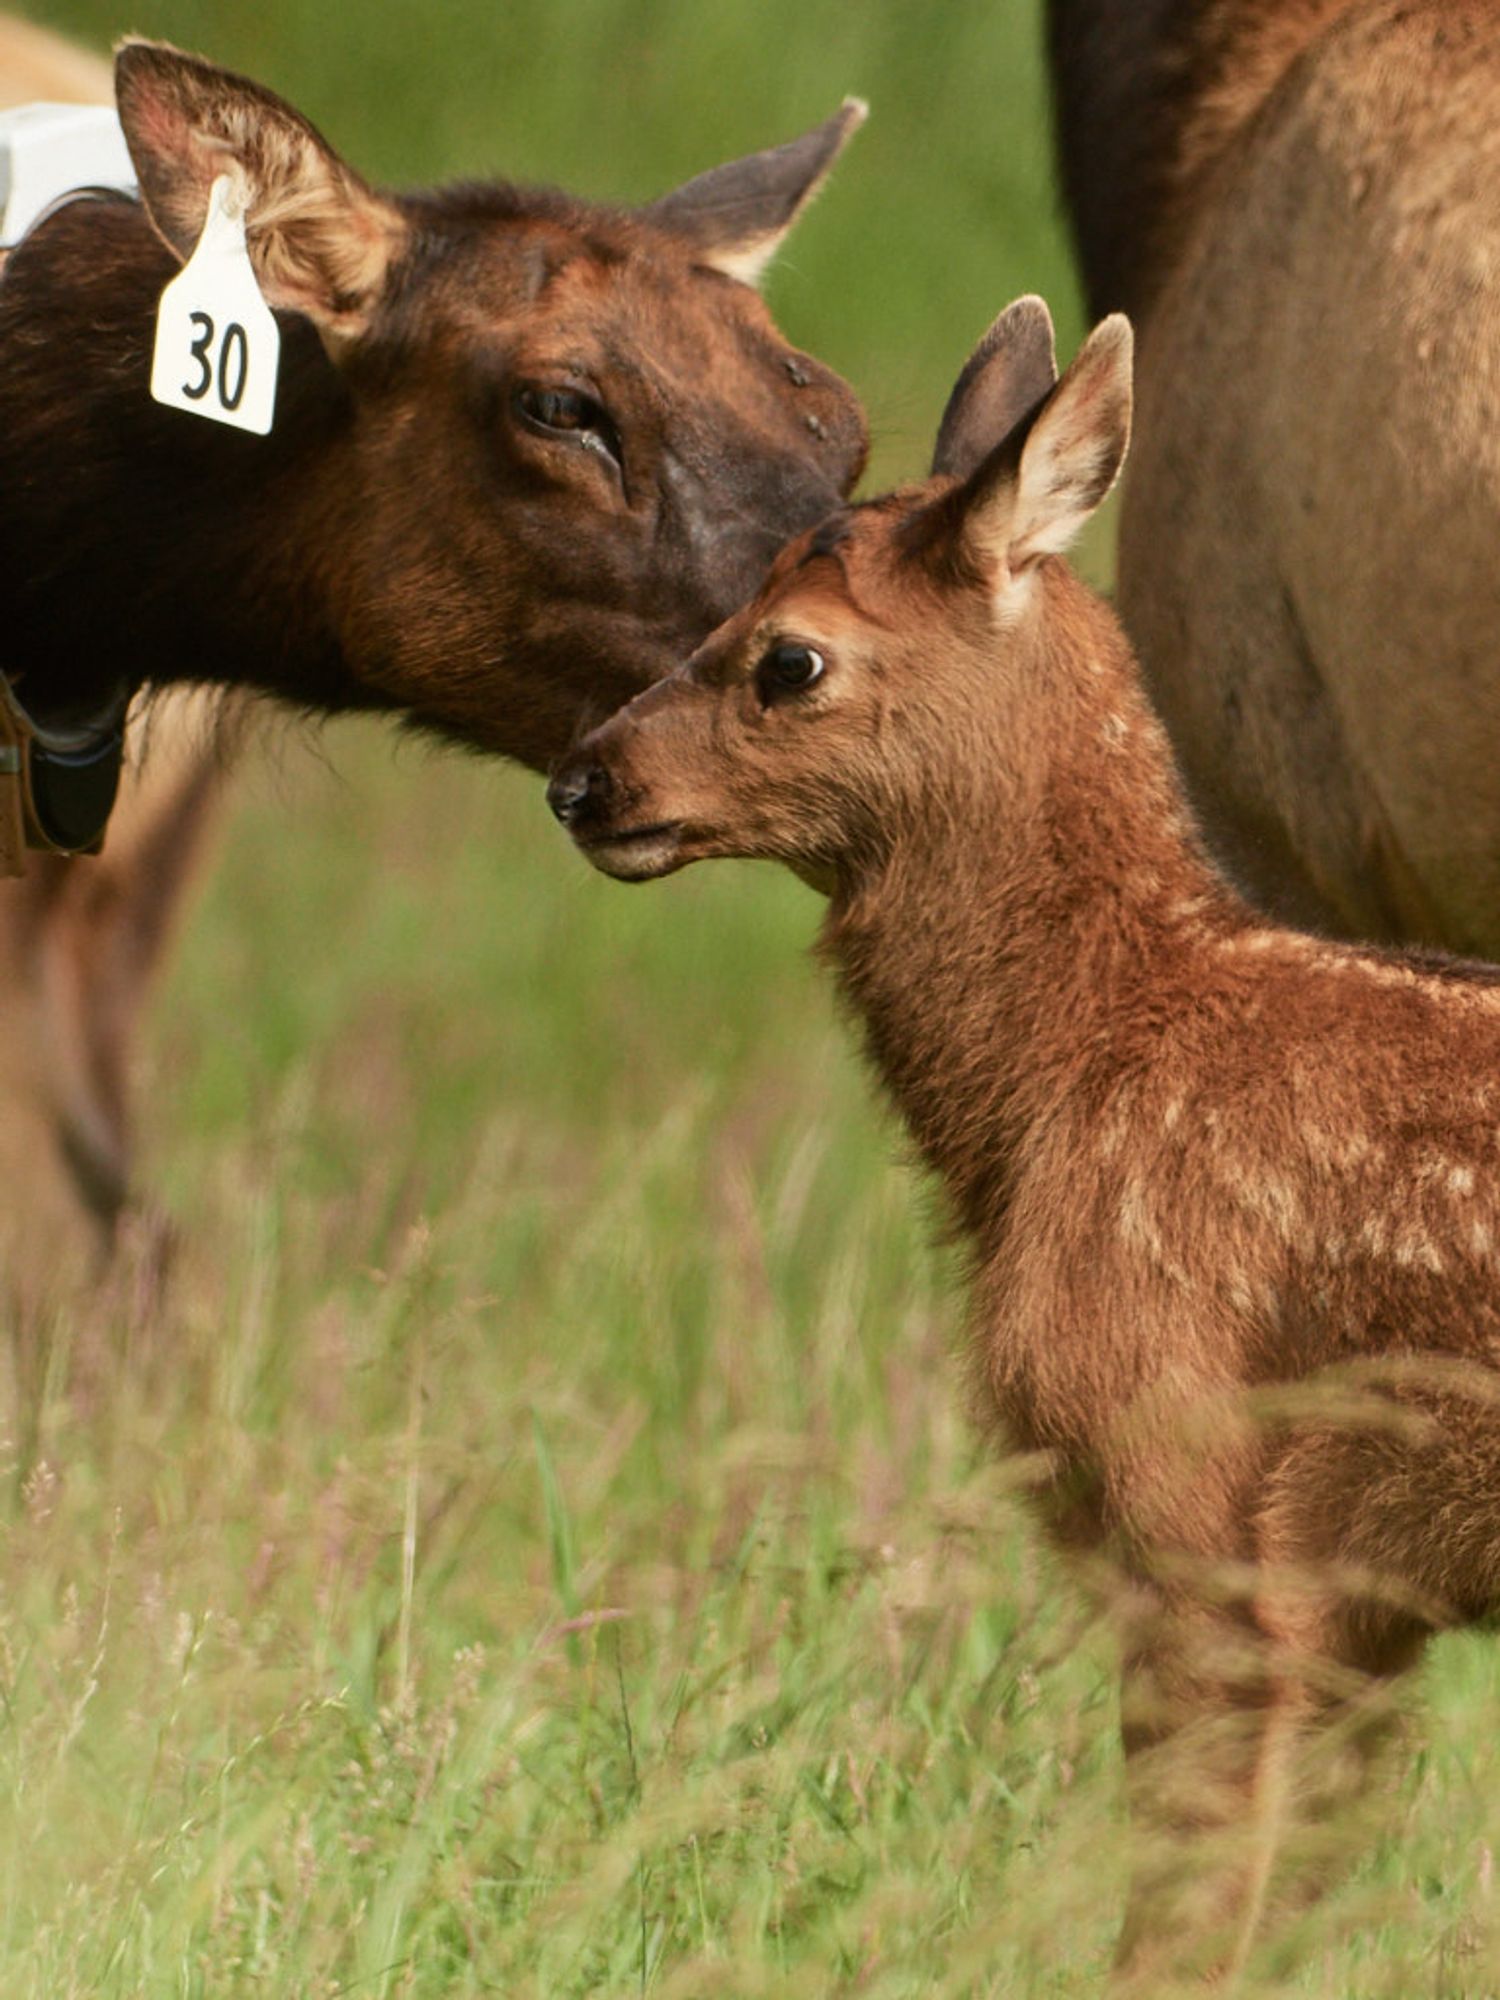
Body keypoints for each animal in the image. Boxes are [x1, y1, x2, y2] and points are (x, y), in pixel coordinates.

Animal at [552, 296, 1500, 1984]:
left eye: (788, 657)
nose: (584, 782)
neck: (1078, 1065)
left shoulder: (1197, 1488)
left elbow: (1186, 1920)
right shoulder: (1361, 1602)